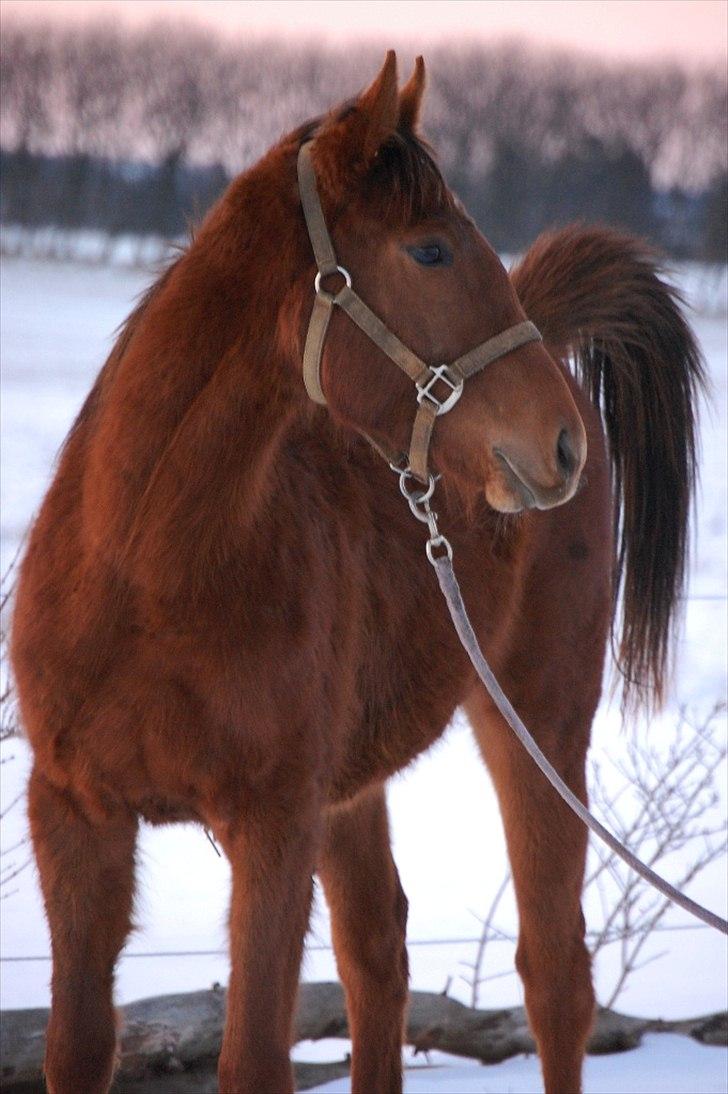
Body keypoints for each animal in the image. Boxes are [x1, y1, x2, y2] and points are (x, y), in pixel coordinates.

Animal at [9, 53, 700, 1094]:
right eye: (430, 251)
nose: (559, 445)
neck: (144, 575)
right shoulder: (76, 817)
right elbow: (78, 1047)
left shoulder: (272, 827)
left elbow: (255, 1056)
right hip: (355, 789)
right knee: (380, 956)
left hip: (537, 722)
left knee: (555, 978)